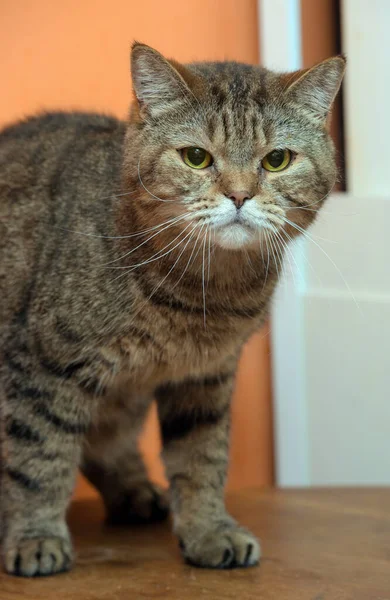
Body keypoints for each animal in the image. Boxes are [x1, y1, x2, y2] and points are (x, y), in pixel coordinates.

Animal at [0, 43, 344, 576]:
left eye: (277, 160)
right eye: (196, 157)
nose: (240, 194)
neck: (201, 296)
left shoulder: (204, 378)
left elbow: (202, 460)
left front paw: (208, 530)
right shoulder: (44, 364)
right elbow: (41, 459)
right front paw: (36, 535)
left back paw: (135, 492)